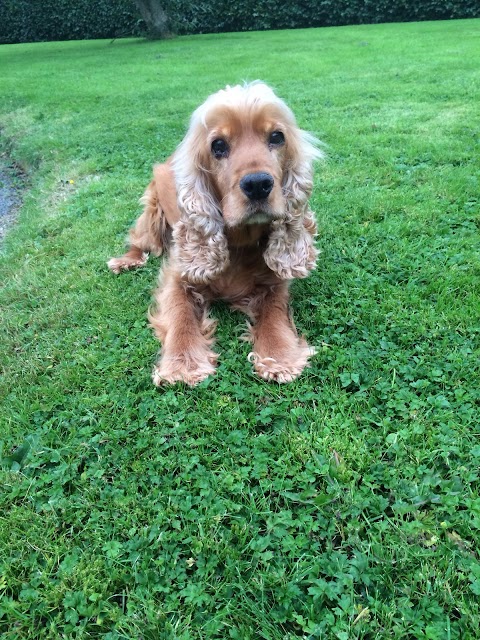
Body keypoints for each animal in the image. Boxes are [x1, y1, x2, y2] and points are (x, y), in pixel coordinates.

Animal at [109, 84, 322, 384]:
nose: (258, 184)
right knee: (140, 241)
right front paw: (182, 363)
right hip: (151, 215)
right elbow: (180, 314)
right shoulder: (178, 276)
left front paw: (279, 356)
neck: (238, 243)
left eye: (276, 137)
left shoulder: (274, 281)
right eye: (218, 146)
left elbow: (274, 312)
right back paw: (126, 260)